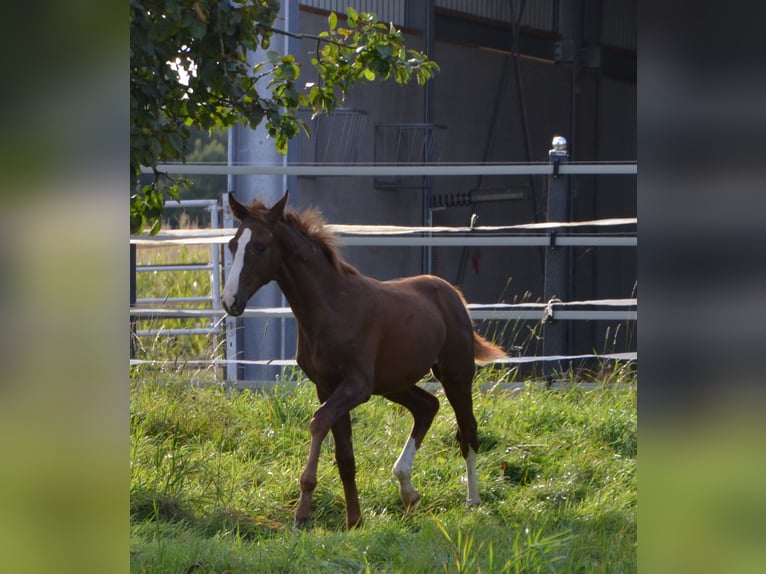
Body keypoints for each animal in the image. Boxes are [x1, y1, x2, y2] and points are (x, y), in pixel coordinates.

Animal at [222, 194, 510, 532]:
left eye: (260, 247)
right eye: (233, 245)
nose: (230, 301)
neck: (332, 306)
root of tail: (451, 293)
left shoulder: (356, 386)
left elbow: (318, 421)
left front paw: (303, 511)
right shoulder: (327, 386)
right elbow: (345, 456)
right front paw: (354, 521)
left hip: (455, 375)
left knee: (468, 430)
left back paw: (472, 500)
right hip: (393, 383)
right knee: (427, 407)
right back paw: (409, 491)